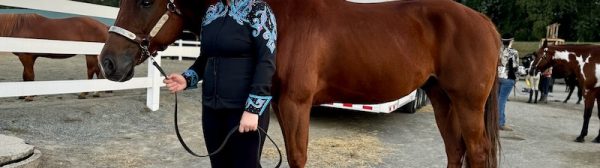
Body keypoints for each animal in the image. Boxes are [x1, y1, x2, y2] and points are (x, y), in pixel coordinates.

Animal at [99, 0, 502, 167]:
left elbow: (297, 156)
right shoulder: (274, 103)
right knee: (455, 150)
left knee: (476, 152)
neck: (281, 17)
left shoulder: (295, 104)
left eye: (146, 1)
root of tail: (484, 22)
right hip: (441, 97)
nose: (108, 62)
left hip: (466, 103)